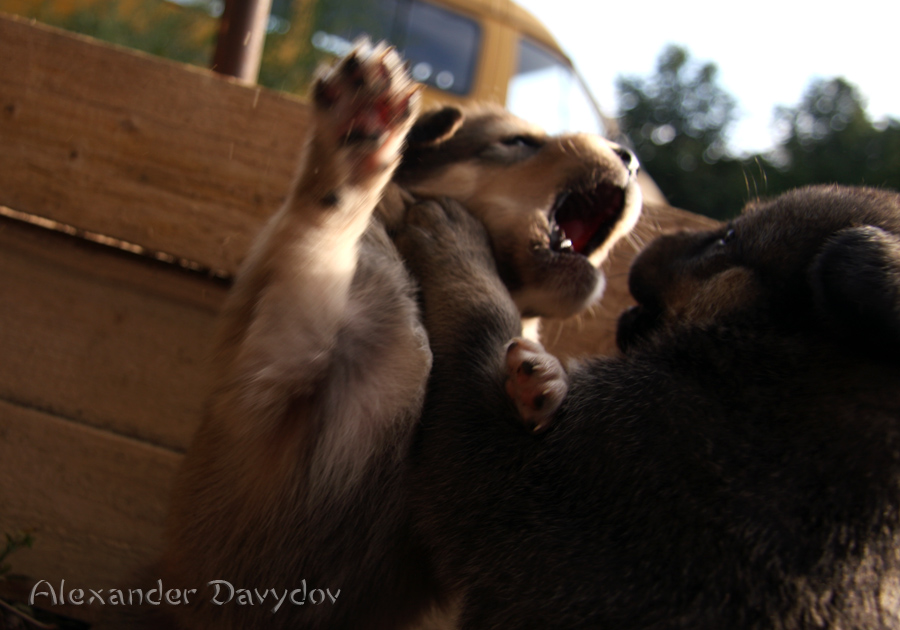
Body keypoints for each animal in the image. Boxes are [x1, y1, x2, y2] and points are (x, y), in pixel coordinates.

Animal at [126, 40, 644, 630]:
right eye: (517, 142)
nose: (631, 157)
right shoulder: (277, 385)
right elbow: (320, 232)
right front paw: (357, 134)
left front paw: (546, 377)